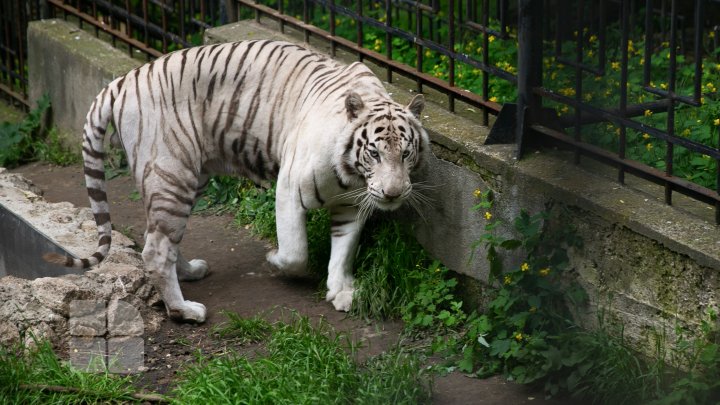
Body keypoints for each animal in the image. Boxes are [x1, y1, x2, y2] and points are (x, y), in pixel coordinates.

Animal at [46, 38, 428, 322]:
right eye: (375, 153)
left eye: (406, 153)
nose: (393, 194)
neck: (351, 174)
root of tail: (121, 81)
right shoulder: (289, 189)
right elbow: (296, 253)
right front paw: (275, 260)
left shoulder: (351, 203)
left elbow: (343, 250)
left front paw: (342, 290)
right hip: (174, 174)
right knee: (155, 249)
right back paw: (184, 311)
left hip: (184, 179)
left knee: (160, 238)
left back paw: (190, 272)